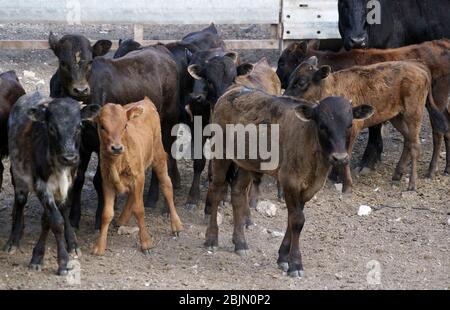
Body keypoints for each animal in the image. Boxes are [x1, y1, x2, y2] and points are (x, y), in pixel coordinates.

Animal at [4, 91, 98, 274]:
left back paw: (72, 242)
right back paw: (13, 239)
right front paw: (60, 261)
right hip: (18, 175)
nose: (70, 157)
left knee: (62, 209)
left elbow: (50, 218)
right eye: (52, 128)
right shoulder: (41, 185)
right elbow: (55, 221)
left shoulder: (68, 183)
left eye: (79, 127)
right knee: (20, 200)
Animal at [93, 98, 183, 256]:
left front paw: (146, 243)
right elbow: (106, 214)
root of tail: (146, 100)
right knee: (132, 197)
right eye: (102, 126)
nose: (117, 148)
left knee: (167, 186)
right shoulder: (107, 181)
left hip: (158, 155)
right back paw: (122, 219)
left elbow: (139, 210)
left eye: (124, 125)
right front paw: (100, 246)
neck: (117, 162)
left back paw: (176, 225)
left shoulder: (138, 177)